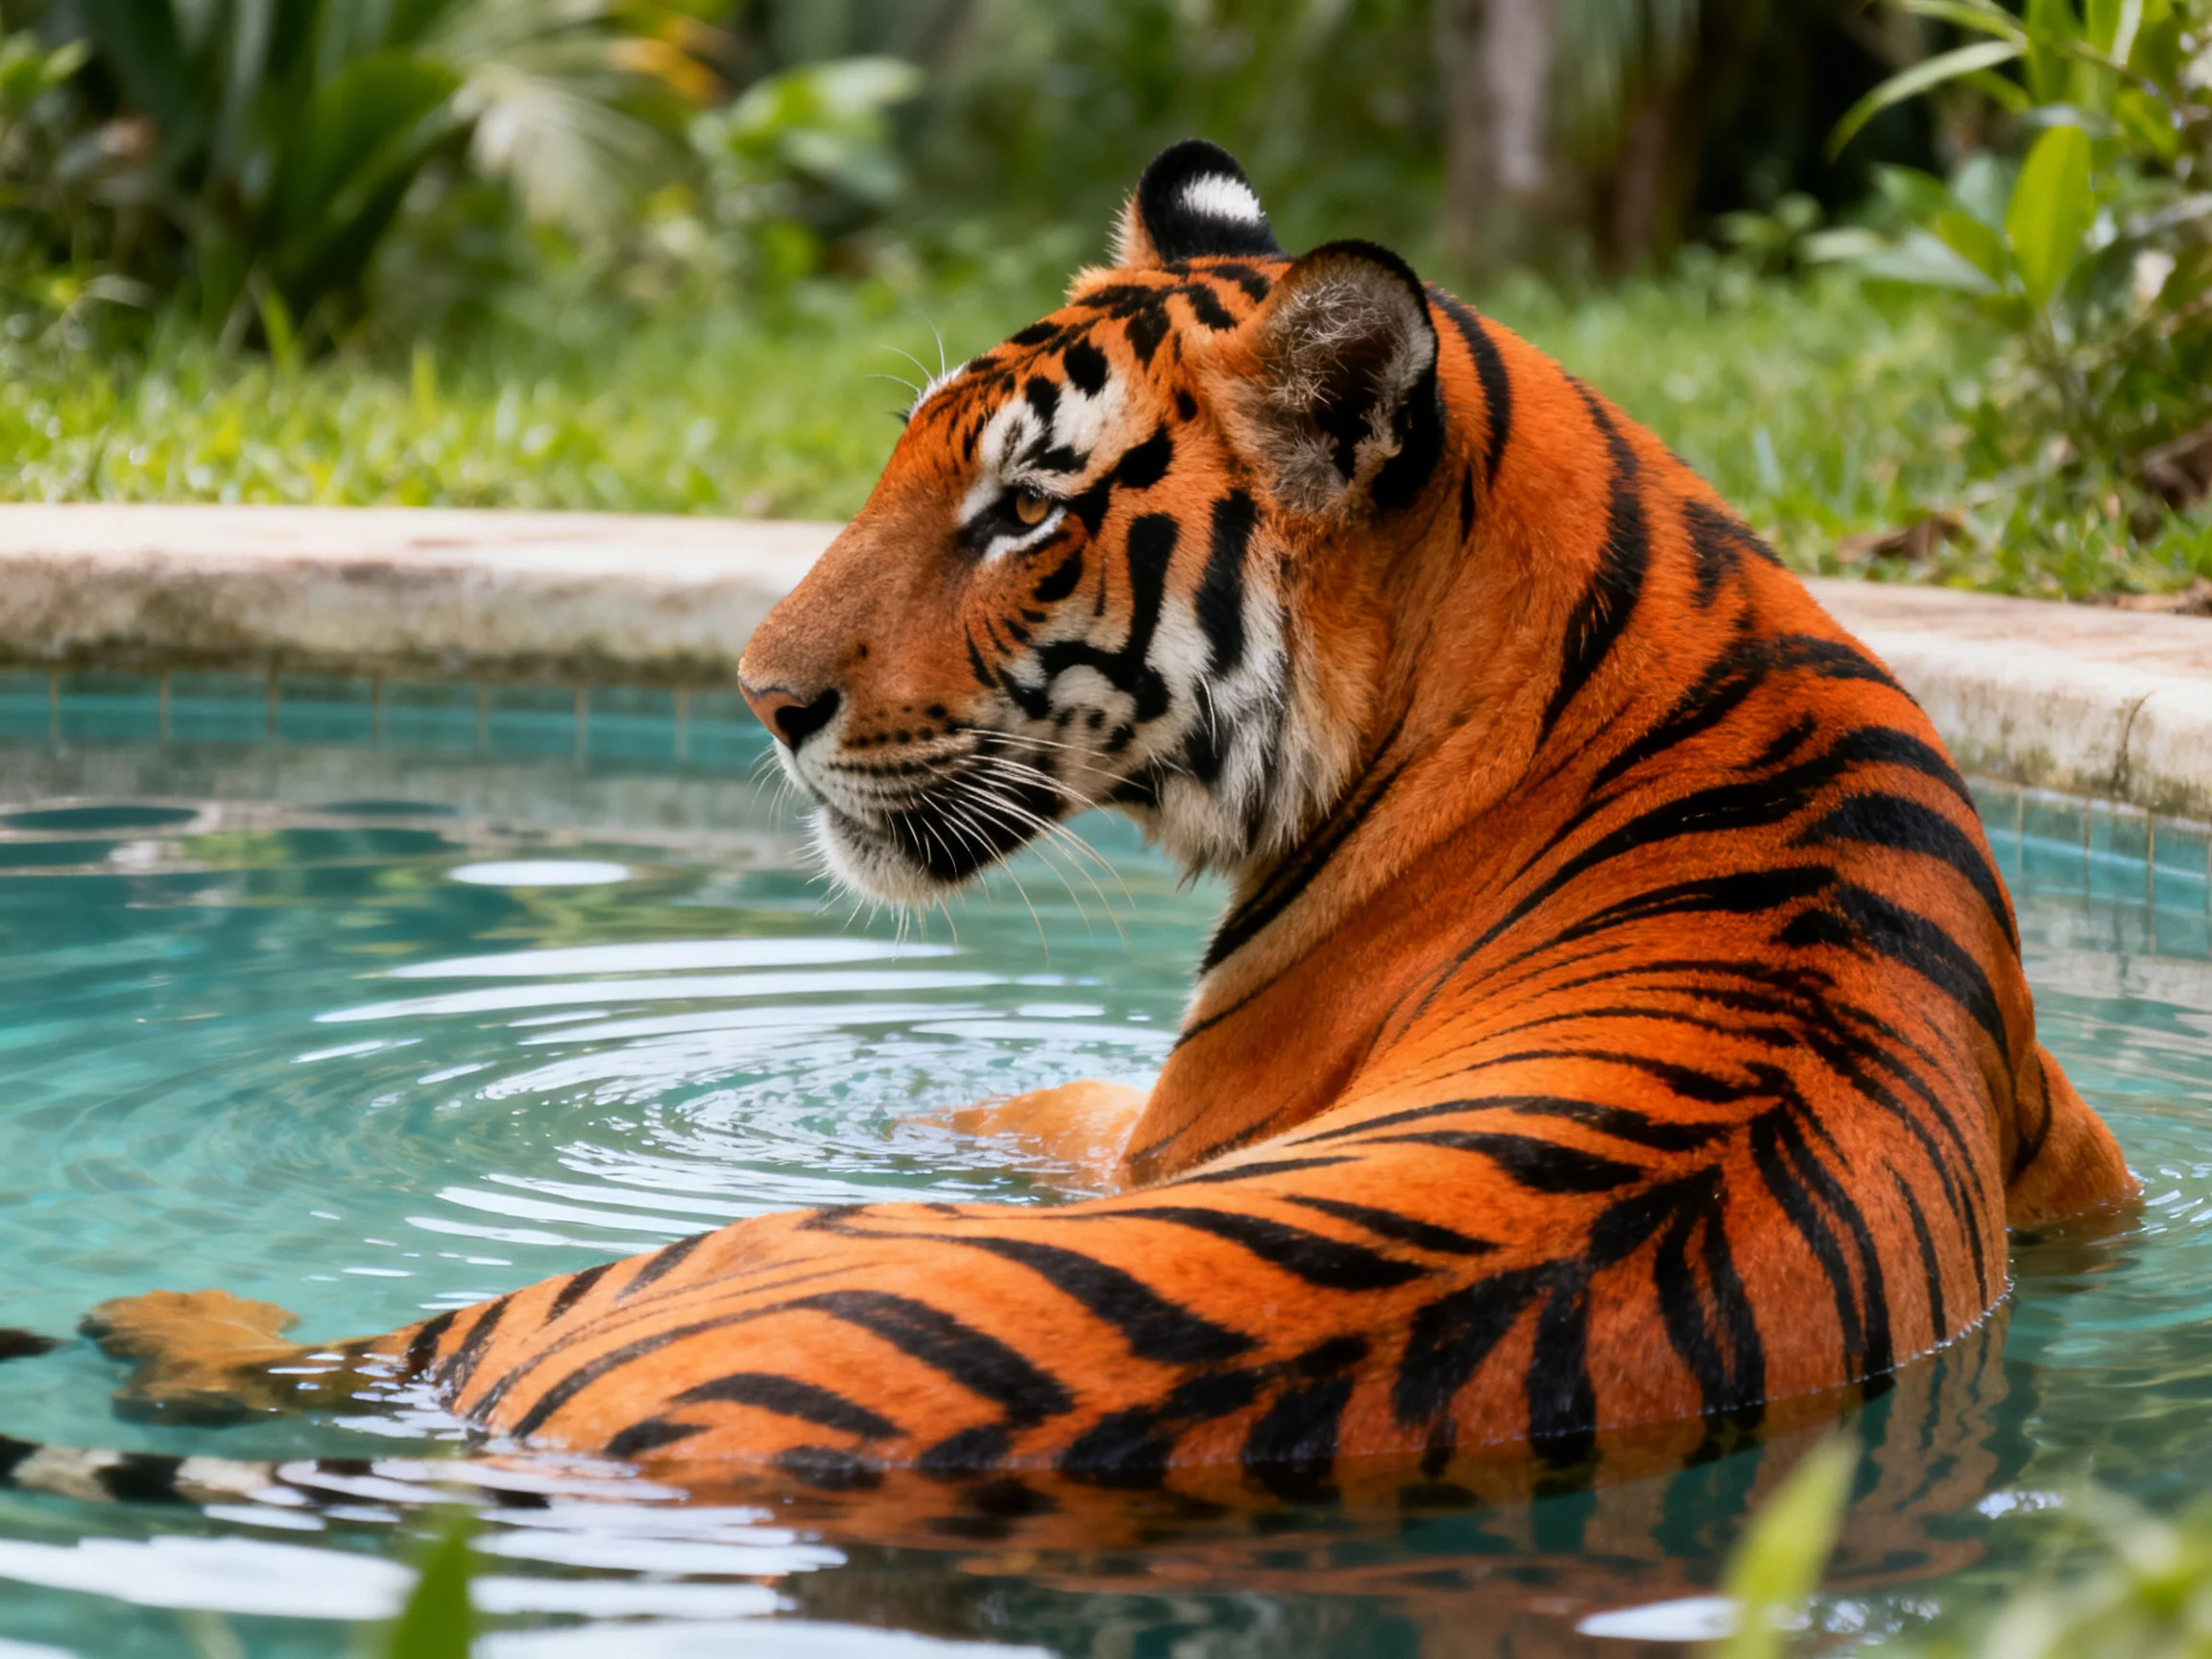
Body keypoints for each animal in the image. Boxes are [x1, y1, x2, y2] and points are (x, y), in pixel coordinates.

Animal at [10, 138, 2136, 1512]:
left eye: (1023, 513)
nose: (760, 698)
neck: (1661, 625)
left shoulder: (1172, 1123)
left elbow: (1034, 1101)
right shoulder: (2075, 1153)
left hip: (543, 1301)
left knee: (249, 1349)